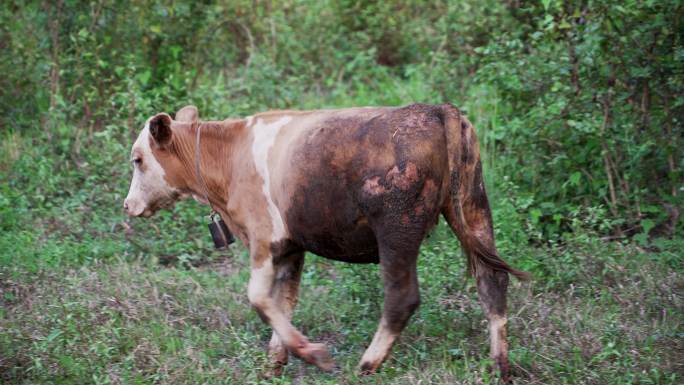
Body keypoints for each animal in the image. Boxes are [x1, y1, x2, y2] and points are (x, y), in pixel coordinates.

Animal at [123, 103, 528, 380]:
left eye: (138, 159)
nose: (128, 205)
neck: (229, 157)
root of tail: (436, 110)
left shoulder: (264, 237)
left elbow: (258, 297)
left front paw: (313, 354)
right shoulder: (290, 247)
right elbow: (282, 301)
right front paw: (275, 362)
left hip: (397, 228)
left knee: (402, 297)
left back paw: (367, 363)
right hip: (474, 206)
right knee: (492, 281)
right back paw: (501, 366)